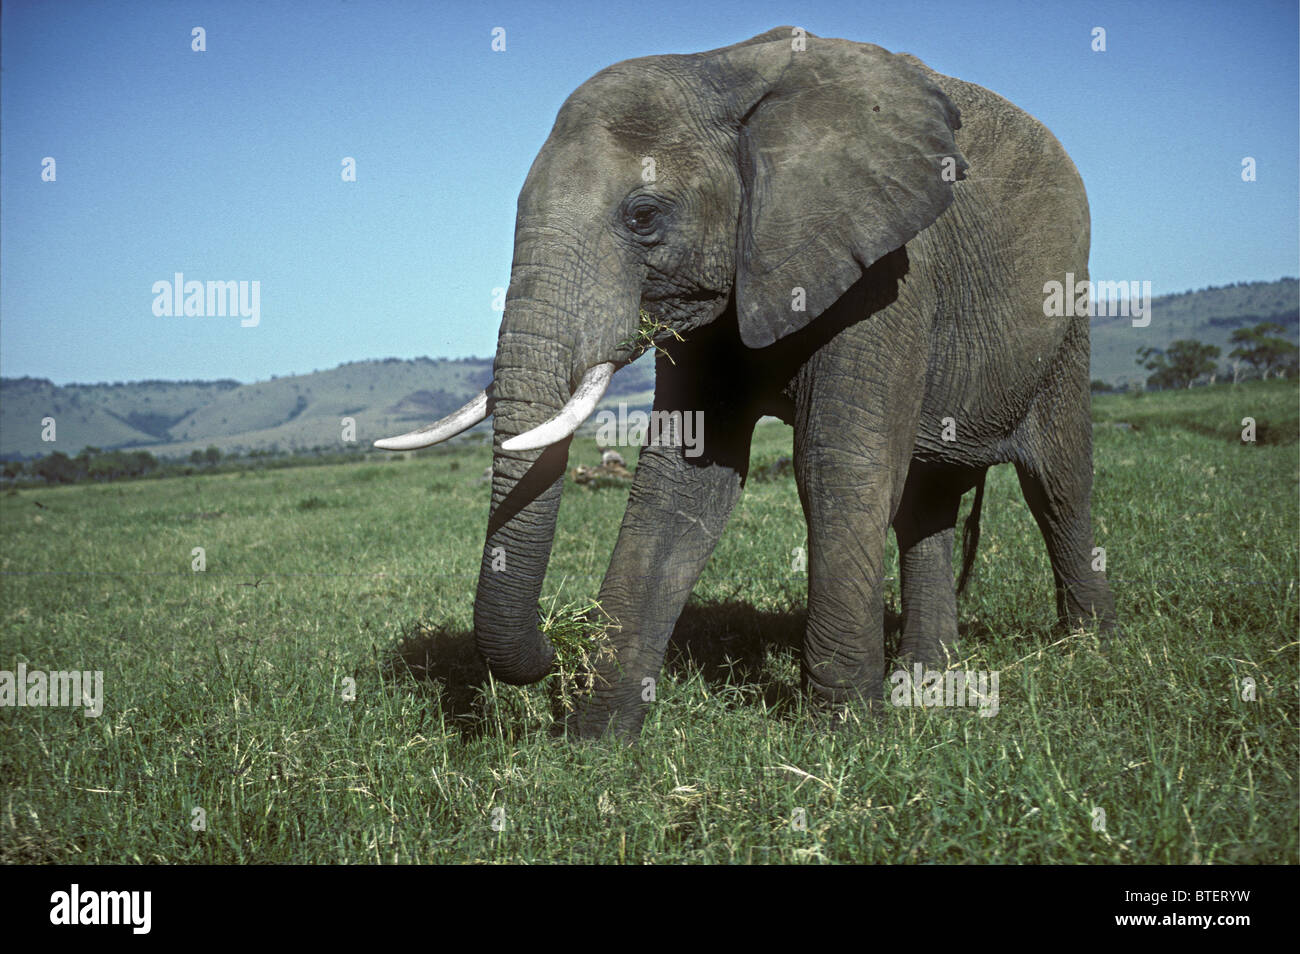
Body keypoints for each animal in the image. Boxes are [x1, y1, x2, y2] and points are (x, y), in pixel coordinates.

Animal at [377, 24, 1118, 738]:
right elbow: (679, 481)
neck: (719, 68)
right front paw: (596, 744)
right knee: (927, 501)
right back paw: (925, 684)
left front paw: (845, 739)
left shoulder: (891, 269)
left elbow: (838, 467)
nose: (557, 648)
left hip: (1066, 313)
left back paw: (1086, 652)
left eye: (643, 216)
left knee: (1058, 483)